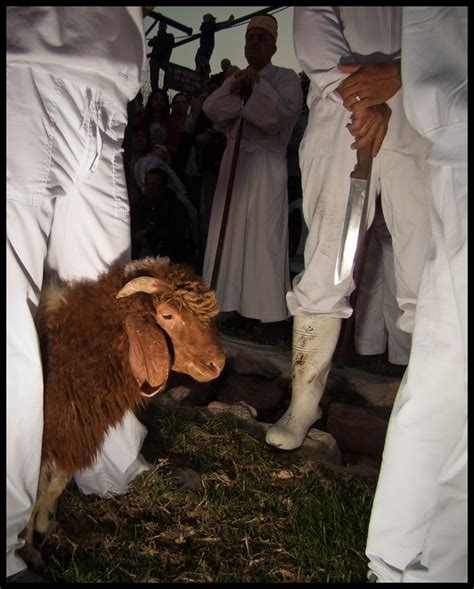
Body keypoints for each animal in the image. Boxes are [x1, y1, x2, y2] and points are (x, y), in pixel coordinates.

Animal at [18, 255, 226, 568]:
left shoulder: (73, 430)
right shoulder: (50, 432)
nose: (218, 364)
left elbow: (54, 485)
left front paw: (44, 529)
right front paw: (29, 549)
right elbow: (39, 486)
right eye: (168, 315)